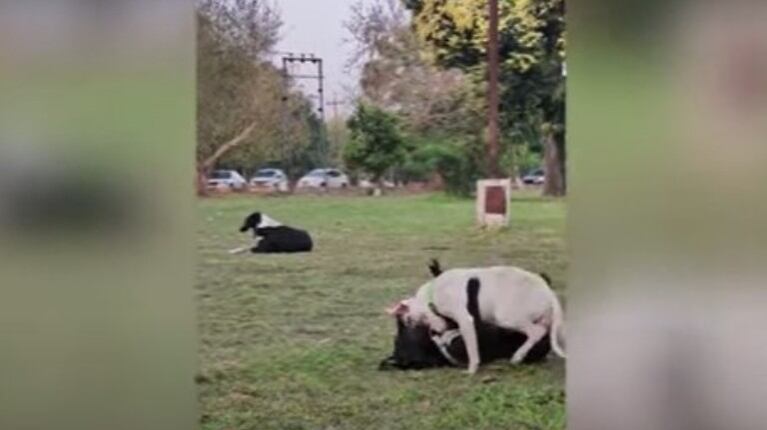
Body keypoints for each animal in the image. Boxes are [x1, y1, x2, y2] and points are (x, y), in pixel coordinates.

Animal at [380, 258, 564, 372]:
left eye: (410, 321)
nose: (435, 332)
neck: (433, 291)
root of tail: (549, 294)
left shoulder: (466, 320)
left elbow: (472, 349)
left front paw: (472, 369)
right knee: (542, 329)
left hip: (506, 317)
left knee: (536, 332)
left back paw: (518, 356)